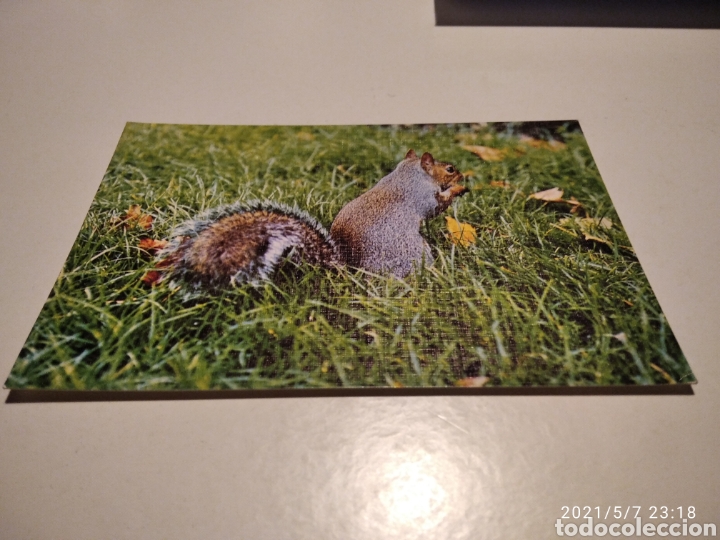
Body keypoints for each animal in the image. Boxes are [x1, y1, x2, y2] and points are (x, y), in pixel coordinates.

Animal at [152, 149, 468, 287]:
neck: (408, 173)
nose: (462, 174)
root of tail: (351, 269)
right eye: (449, 169)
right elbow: (437, 206)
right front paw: (457, 190)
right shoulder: (422, 197)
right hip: (415, 253)